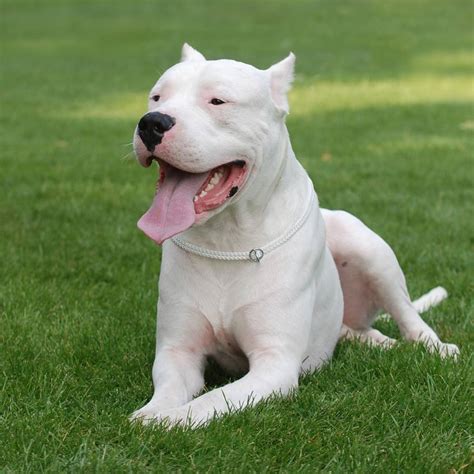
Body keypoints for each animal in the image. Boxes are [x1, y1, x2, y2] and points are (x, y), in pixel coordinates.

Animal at [131, 46, 460, 428]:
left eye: (217, 101)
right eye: (157, 96)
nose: (152, 122)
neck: (228, 237)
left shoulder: (274, 364)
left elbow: (212, 399)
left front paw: (170, 421)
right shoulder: (178, 351)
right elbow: (170, 388)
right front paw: (151, 413)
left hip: (367, 248)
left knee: (408, 315)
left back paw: (435, 346)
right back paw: (379, 343)